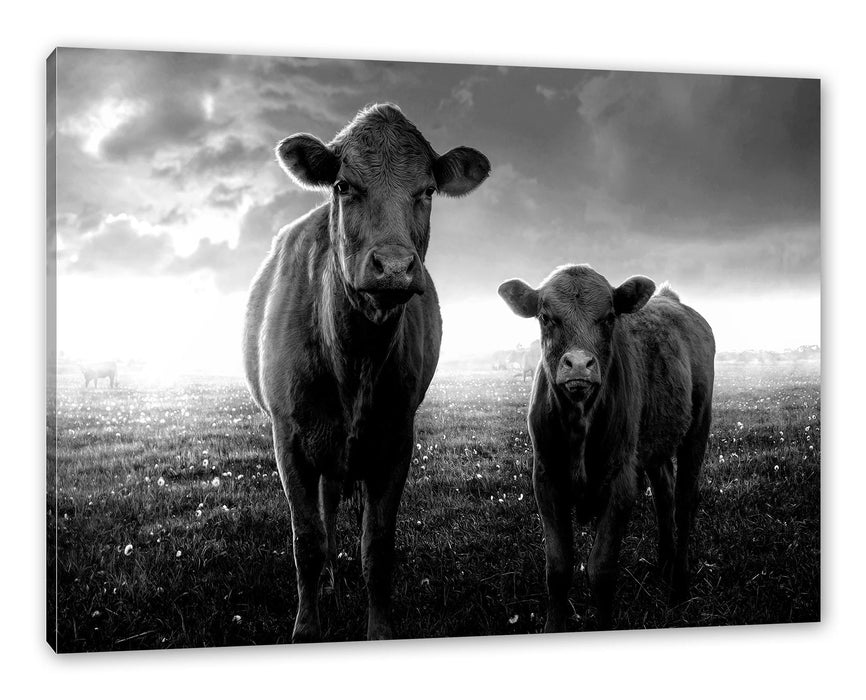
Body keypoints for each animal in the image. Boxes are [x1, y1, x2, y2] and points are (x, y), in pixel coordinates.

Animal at [244, 104, 490, 642]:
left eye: (427, 190)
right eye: (343, 185)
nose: (394, 267)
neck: (353, 357)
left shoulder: (396, 438)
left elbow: (377, 545)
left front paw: (379, 631)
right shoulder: (288, 438)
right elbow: (307, 540)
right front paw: (306, 628)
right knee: (327, 516)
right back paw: (330, 589)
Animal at [498, 264, 714, 630]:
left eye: (610, 316)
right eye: (546, 317)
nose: (579, 364)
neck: (579, 422)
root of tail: (671, 301)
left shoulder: (621, 483)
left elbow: (601, 569)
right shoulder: (546, 479)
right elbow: (558, 568)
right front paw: (553, 626)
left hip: (698, 428)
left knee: (684, 503)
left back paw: (679, 587)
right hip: (655, 445)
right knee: (665, 496)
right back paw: (664, 564)